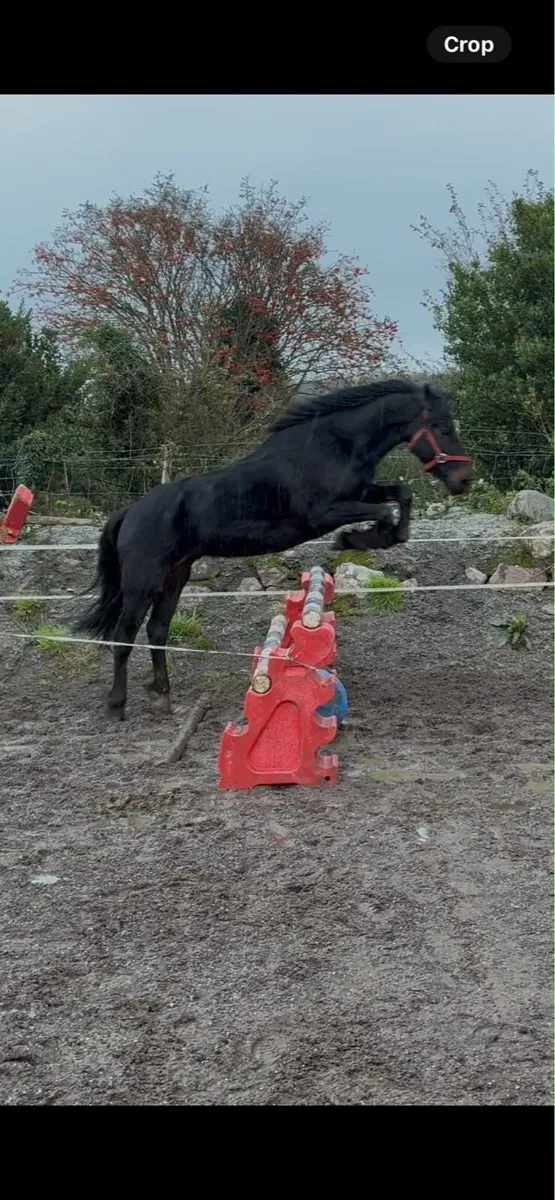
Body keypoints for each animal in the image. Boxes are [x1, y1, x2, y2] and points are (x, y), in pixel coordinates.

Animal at [76, 379, 472, 720]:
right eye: (443, 427)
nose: (463, 480)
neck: (331, 446)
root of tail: (131, 511)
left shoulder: (360, 492)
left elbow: (401, 495)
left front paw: (385, 536)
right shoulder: (324, 513)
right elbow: (384, 511)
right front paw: (357, 540)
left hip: (176, 574)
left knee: (158, 630)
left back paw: (162, 696)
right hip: (143, 581)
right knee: (124, 636)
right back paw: (116, 706)